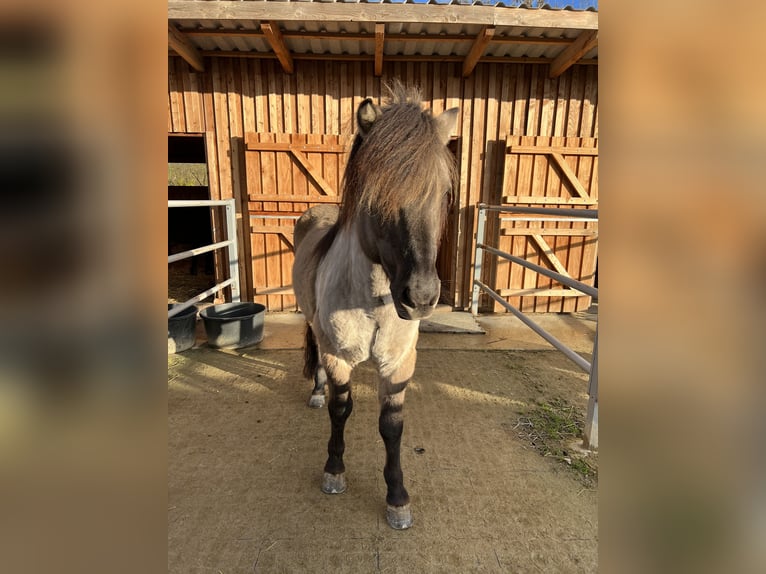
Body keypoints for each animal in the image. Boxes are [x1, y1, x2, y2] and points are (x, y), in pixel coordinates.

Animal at [292, 82, 458, 530]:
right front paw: (334, 471)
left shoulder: (398, 365)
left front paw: (398, 498)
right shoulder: (337, 358)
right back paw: (315, 392)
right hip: (313, 326)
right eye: (378, 194)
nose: (421, 297)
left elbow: (392, 427)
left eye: (443, 194)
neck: (371, 302)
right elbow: (340, 409)